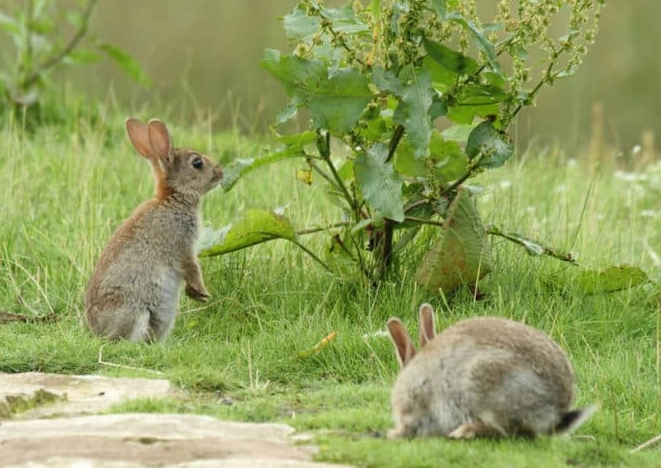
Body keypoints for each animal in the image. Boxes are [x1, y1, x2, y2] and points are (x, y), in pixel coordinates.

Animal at [84, 117, 223, 343]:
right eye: (197, 163)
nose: (220, 172)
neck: (173, 198)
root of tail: (98, 332)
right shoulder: (181, 246)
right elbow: (192, 269)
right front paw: (202, 293)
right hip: (135, 312)